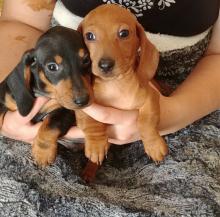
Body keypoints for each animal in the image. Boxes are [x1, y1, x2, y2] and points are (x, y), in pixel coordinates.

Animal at [0, 25, 92, 166]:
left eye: (86, 60)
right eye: (52, 67)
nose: (83, 100)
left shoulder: (65, 111)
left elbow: (50, 125)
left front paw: (43, 151)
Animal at [77, 4, 168, 169]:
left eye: (124, 33)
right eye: (89, 36)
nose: (105, 65)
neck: (115, 85)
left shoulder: (150, 97)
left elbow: (146, 121)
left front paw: (154, 145)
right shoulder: (84, 105)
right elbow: (91, 122)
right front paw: (96, 144)